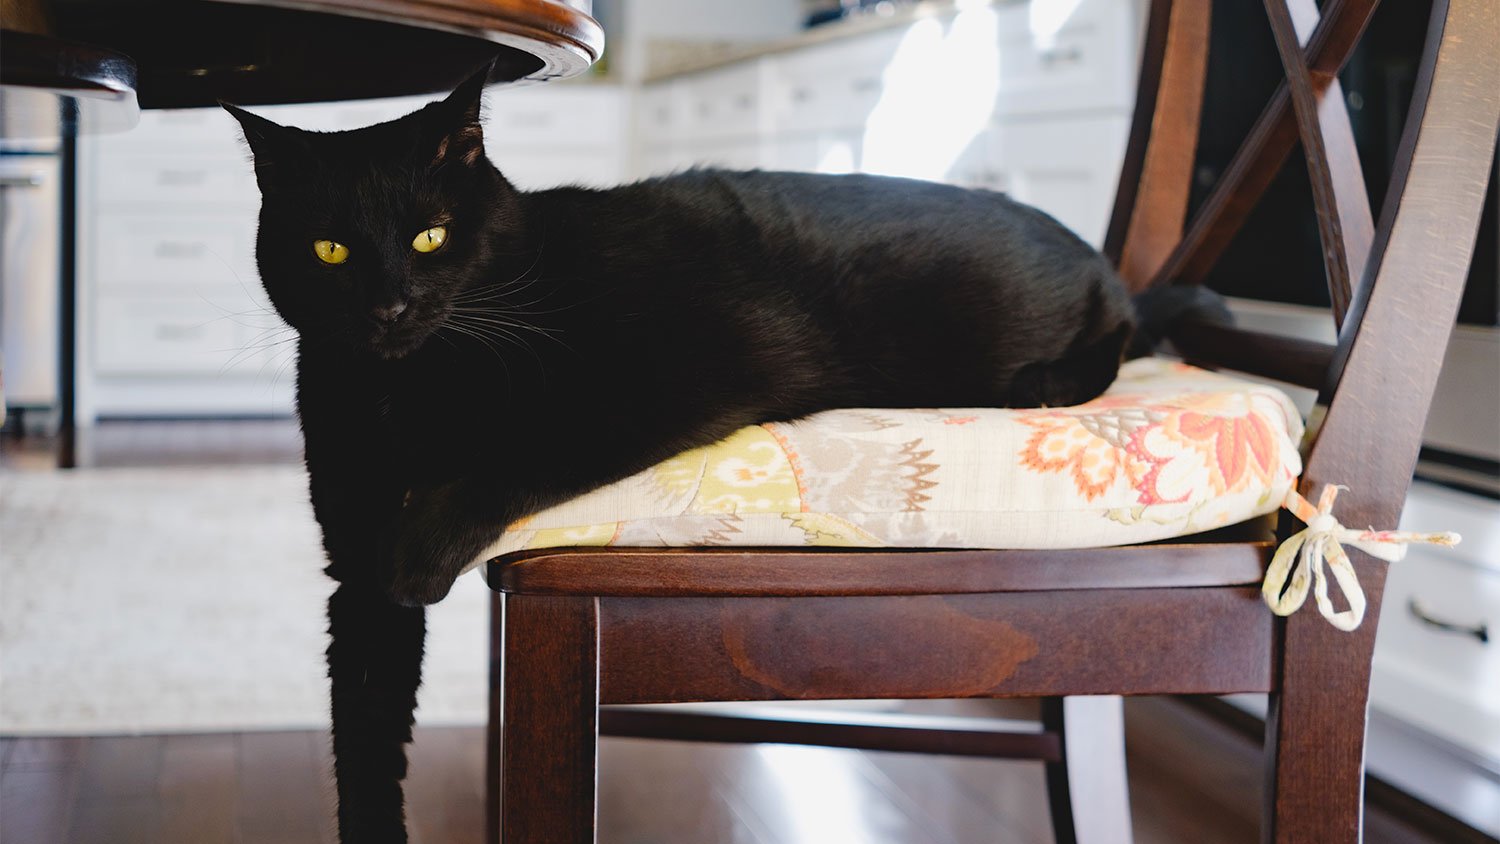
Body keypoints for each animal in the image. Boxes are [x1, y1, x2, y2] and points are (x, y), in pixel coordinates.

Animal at [222, 64, 1134, 839]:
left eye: (429, 238)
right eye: (329, 250)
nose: (390, 307)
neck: (407, 385)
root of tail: (1097, 257)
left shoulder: (689, 377)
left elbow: (526, 449)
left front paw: (424, 548)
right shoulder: (351, 565)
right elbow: (364, 748)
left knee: (1119, 334)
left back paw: (1050, 378)